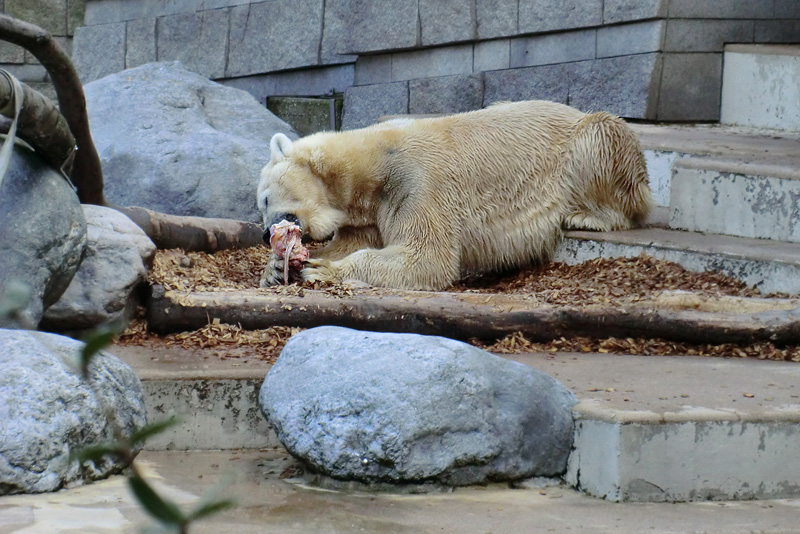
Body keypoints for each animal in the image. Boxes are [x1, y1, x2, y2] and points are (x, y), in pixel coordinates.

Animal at [260, 100, 652, 294]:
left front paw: (322, 270)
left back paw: (589, 215)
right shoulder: (369, 208)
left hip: (587, 143)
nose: (265, 233)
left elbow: (425, 256)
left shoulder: (416, 182)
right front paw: (276, 271)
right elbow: (353, 242)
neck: (372, 162)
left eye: (262, 199)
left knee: (603, 136)